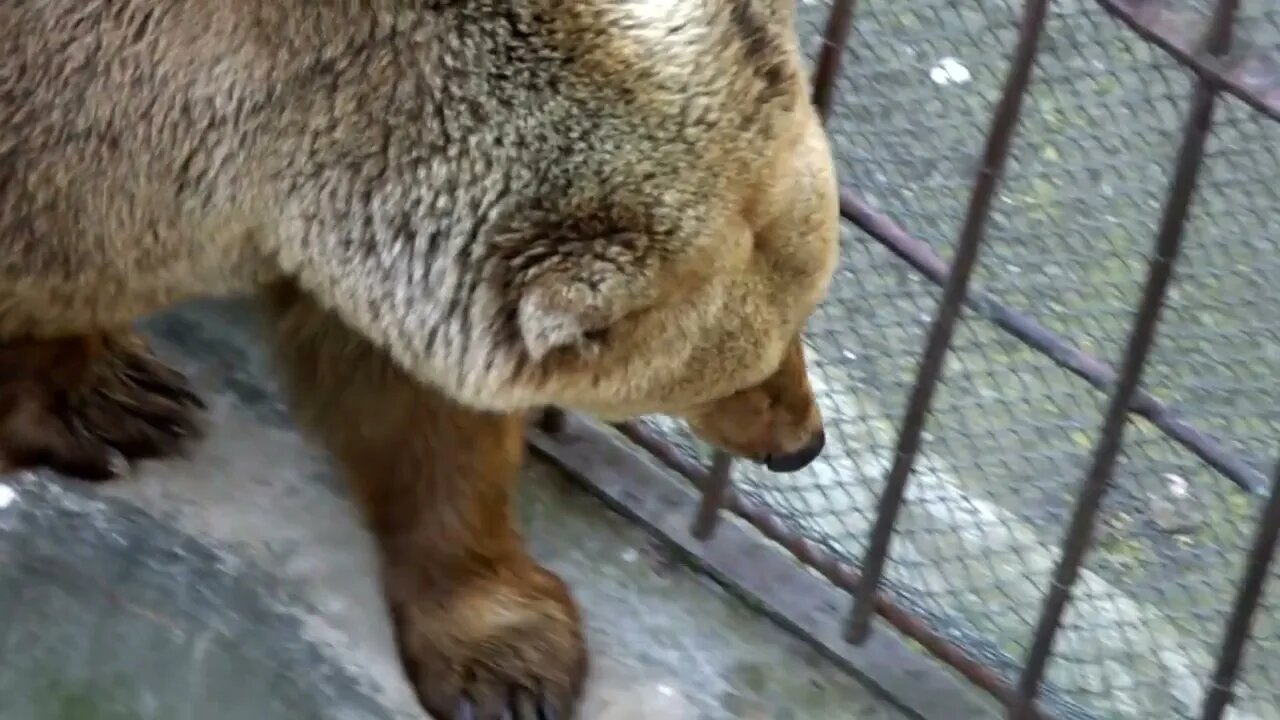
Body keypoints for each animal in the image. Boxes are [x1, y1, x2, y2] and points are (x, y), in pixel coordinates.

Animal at [2, 2, 839, 712]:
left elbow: (421, 418)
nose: (801, 444)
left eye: (804, 315)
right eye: (743, 366)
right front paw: (107, 402)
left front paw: (508, 661)